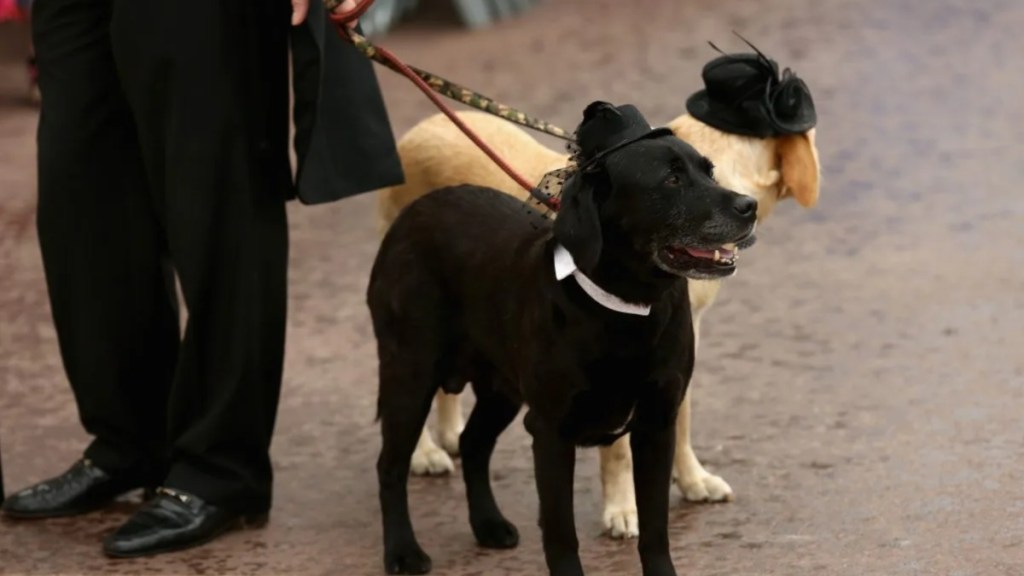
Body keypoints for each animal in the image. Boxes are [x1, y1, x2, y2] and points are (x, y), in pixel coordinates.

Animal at [372, 108, 819, 537]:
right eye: (672, 180)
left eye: (707, 174)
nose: (748, 208)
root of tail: (416, 131)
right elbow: (618, 451)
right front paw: (622, 510)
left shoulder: (678, 362)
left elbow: (683, 422)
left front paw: (693, 480)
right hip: (412, 349)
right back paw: (424, 452)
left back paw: (449, 434)